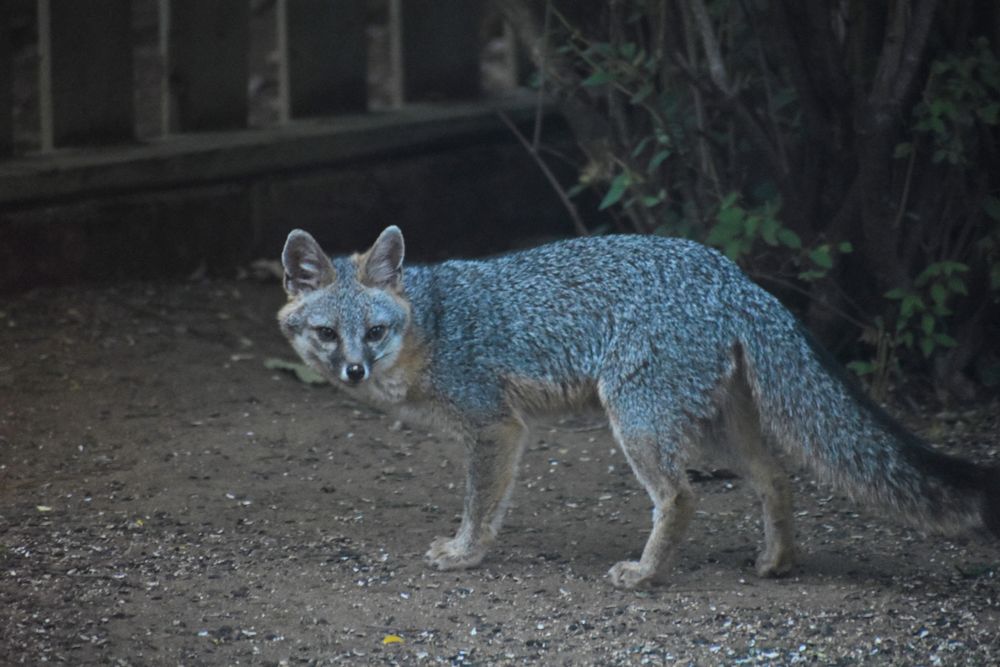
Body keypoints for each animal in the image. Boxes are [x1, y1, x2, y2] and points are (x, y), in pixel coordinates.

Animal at [277, 225, 999, 588]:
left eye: (374, 331)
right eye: (327, 334)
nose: (353, 369)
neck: (430, 322)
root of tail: (736, 277)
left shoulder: (496, 427)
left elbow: (480, 506)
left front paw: (465, 554)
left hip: (639, 422)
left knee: (680, 496)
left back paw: (648, 574)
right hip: (709, 428)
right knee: (776, 475)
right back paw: (777, 561)